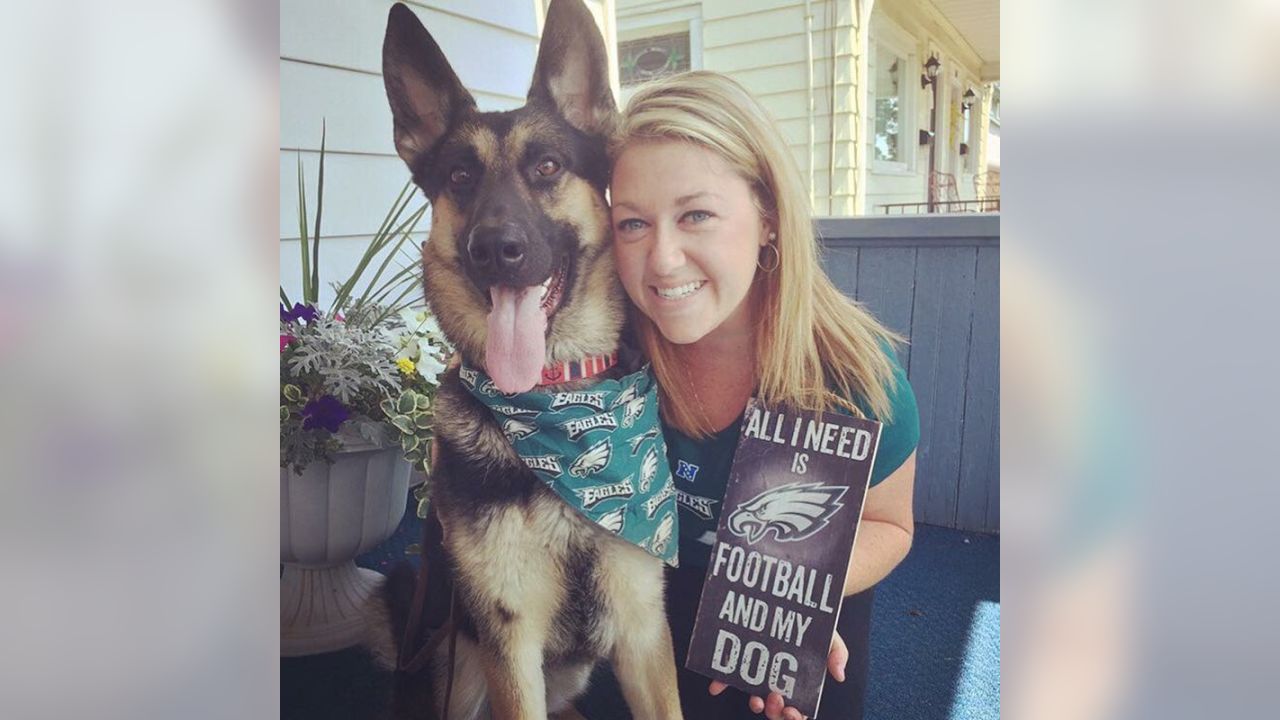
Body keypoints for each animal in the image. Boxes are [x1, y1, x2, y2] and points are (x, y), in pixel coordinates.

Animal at [366, 1, 686, 717]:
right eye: (460, 177)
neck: (558, 398)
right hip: (459, 670)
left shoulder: (644, 631)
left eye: (546, 167)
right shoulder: (508, 645)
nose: (494, 249)